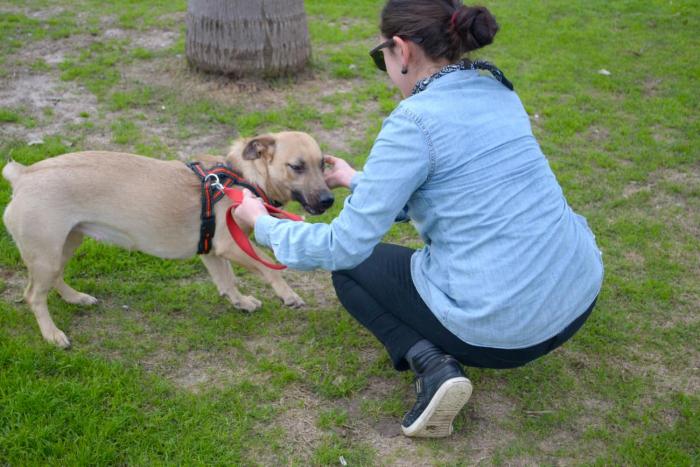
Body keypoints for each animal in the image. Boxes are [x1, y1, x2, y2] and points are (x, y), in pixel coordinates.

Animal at [2, 131, 334, 348]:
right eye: (297, 166)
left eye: (323, 164)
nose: (329, 200)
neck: (243, 177)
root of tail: (23, 175)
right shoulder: (231, 245)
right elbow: (267, 266)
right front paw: (287, 294)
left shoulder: (212, 251)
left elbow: (227, 281)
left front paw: (240, 302)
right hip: (46, 254)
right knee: (34, 296)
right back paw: (52, 335)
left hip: (65, 244)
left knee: (54, 280)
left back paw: (76, 298)